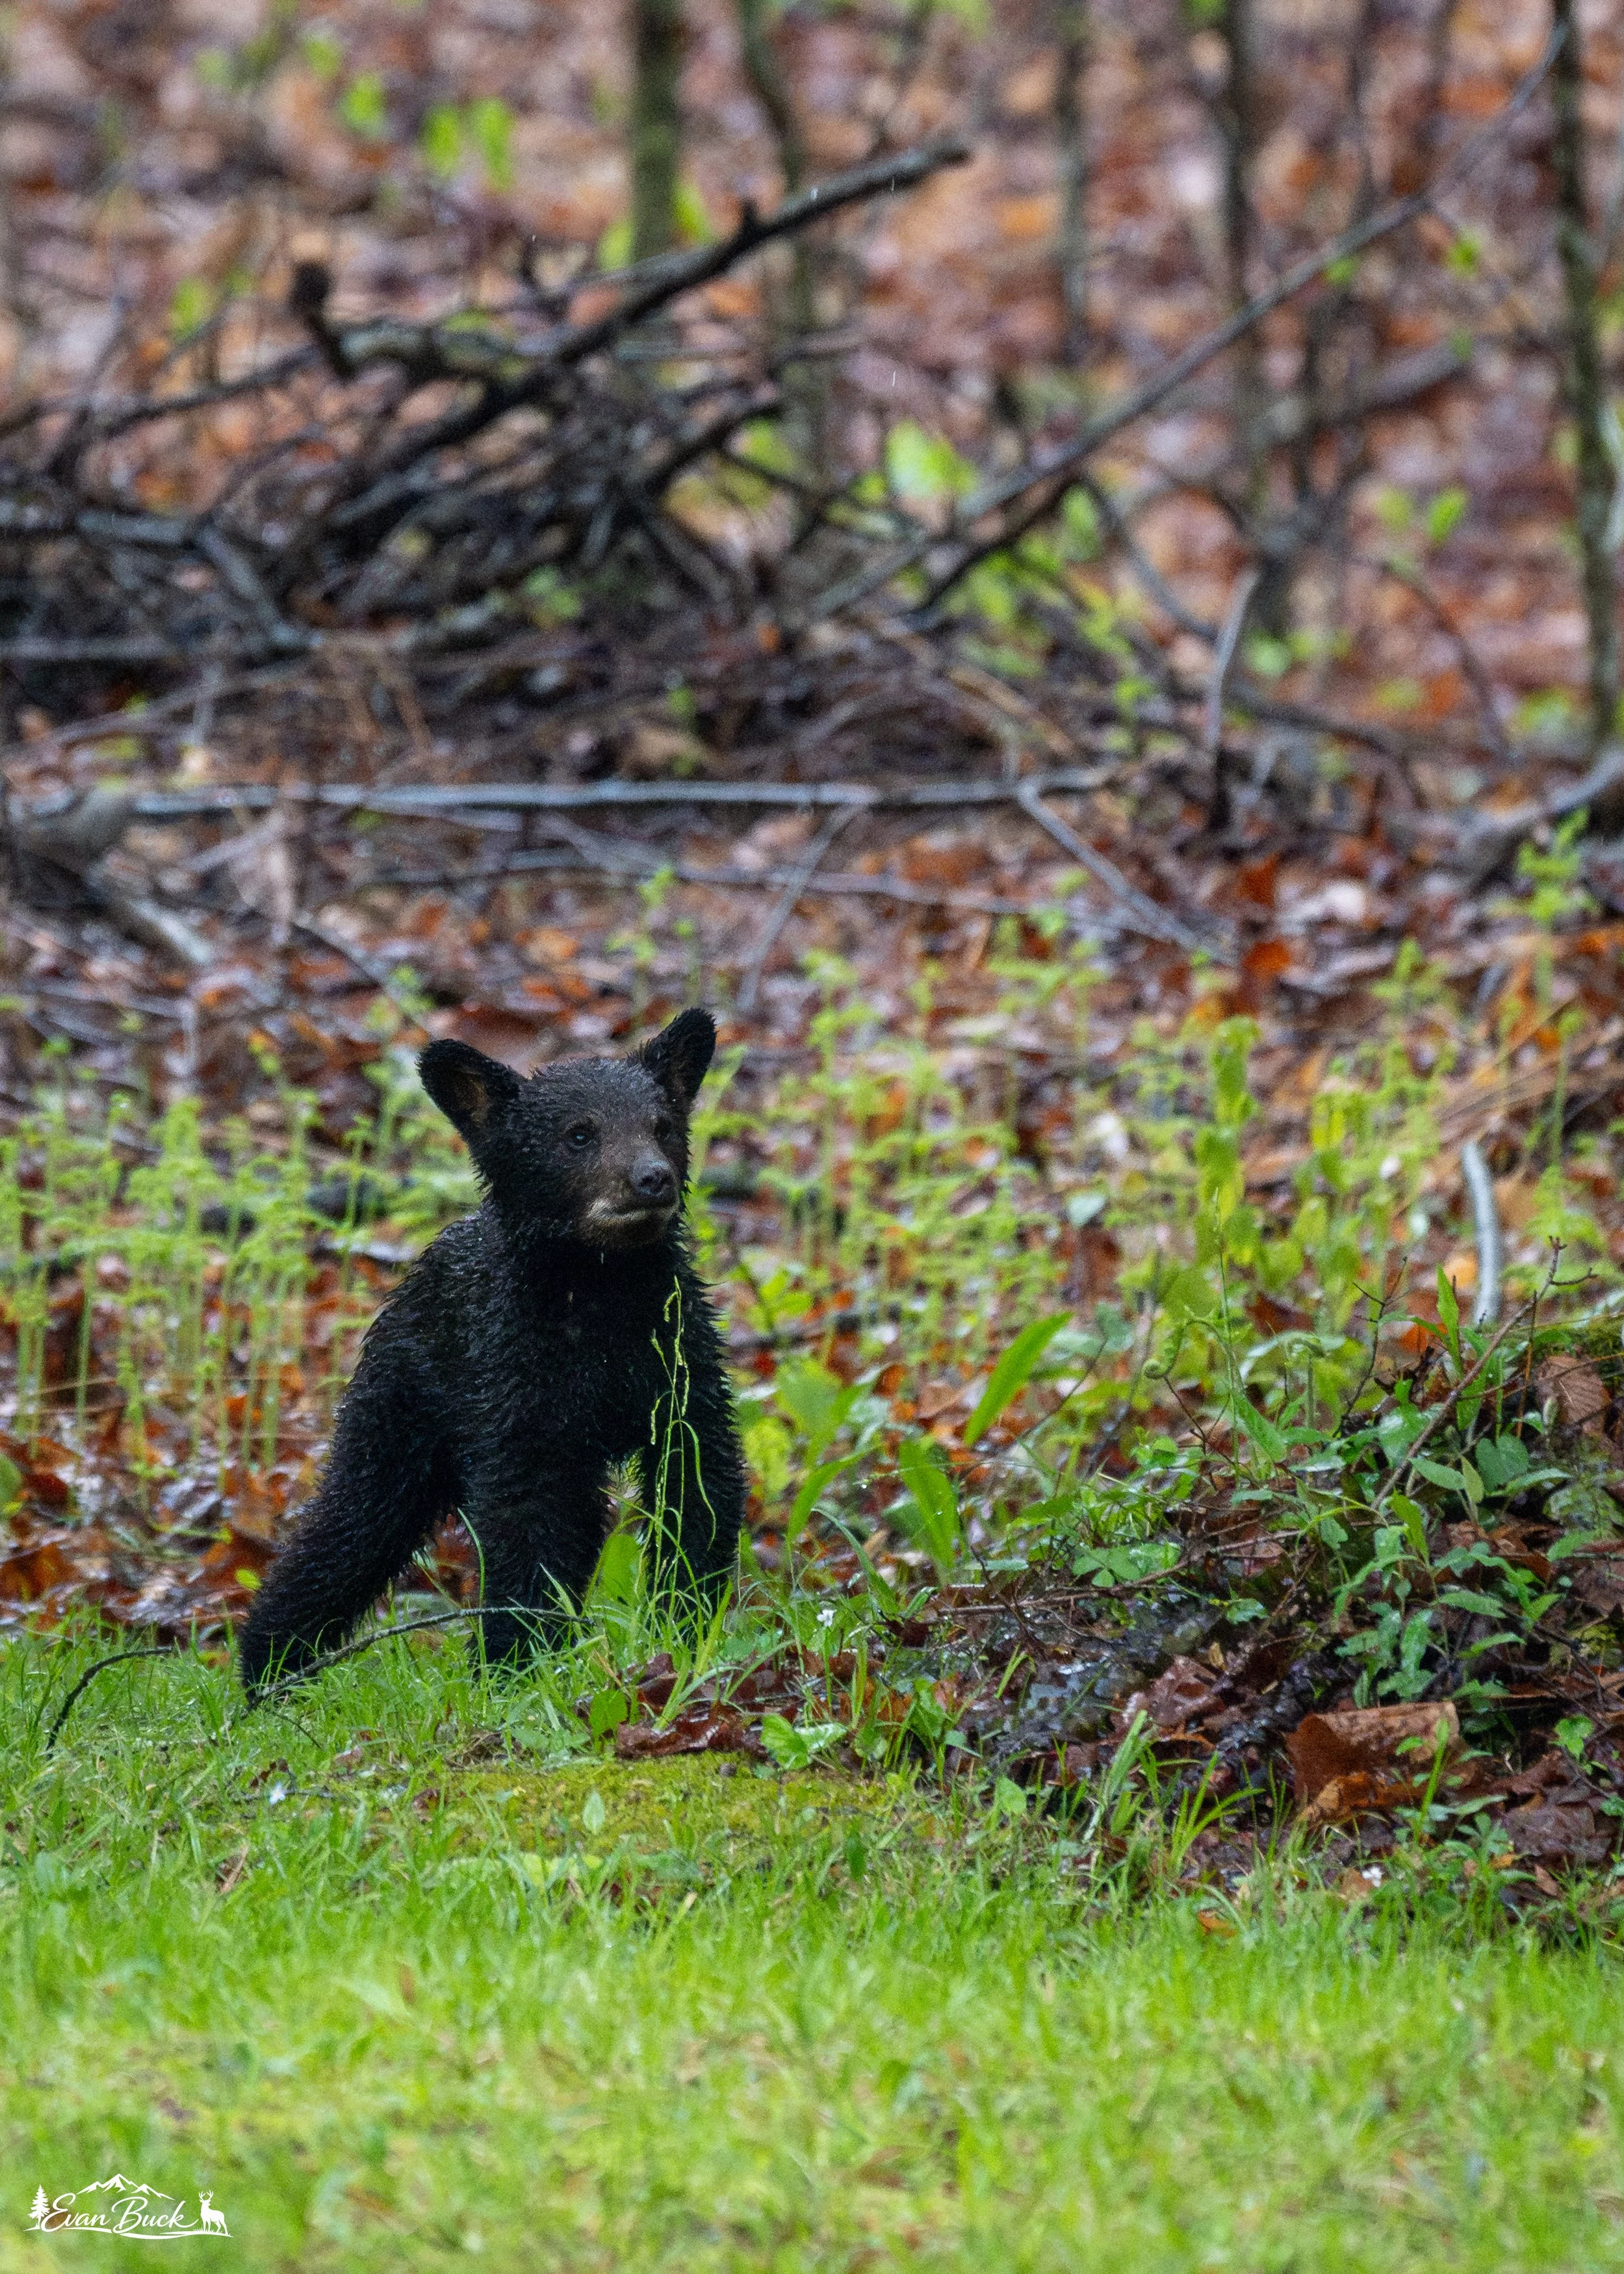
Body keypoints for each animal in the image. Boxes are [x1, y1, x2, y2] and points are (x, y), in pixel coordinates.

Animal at [238, 1007, 745, 1693]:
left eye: (662, 1126)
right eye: (578, 1134)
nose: (651, 1178)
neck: (599, 1292)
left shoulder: (676, 1357)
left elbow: (697, 1481)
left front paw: (687, 1624)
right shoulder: (513, 1384)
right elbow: (525, 1518)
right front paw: (513, 1662)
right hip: (400, 1407)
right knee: (353, 1523)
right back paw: (266, 1666)